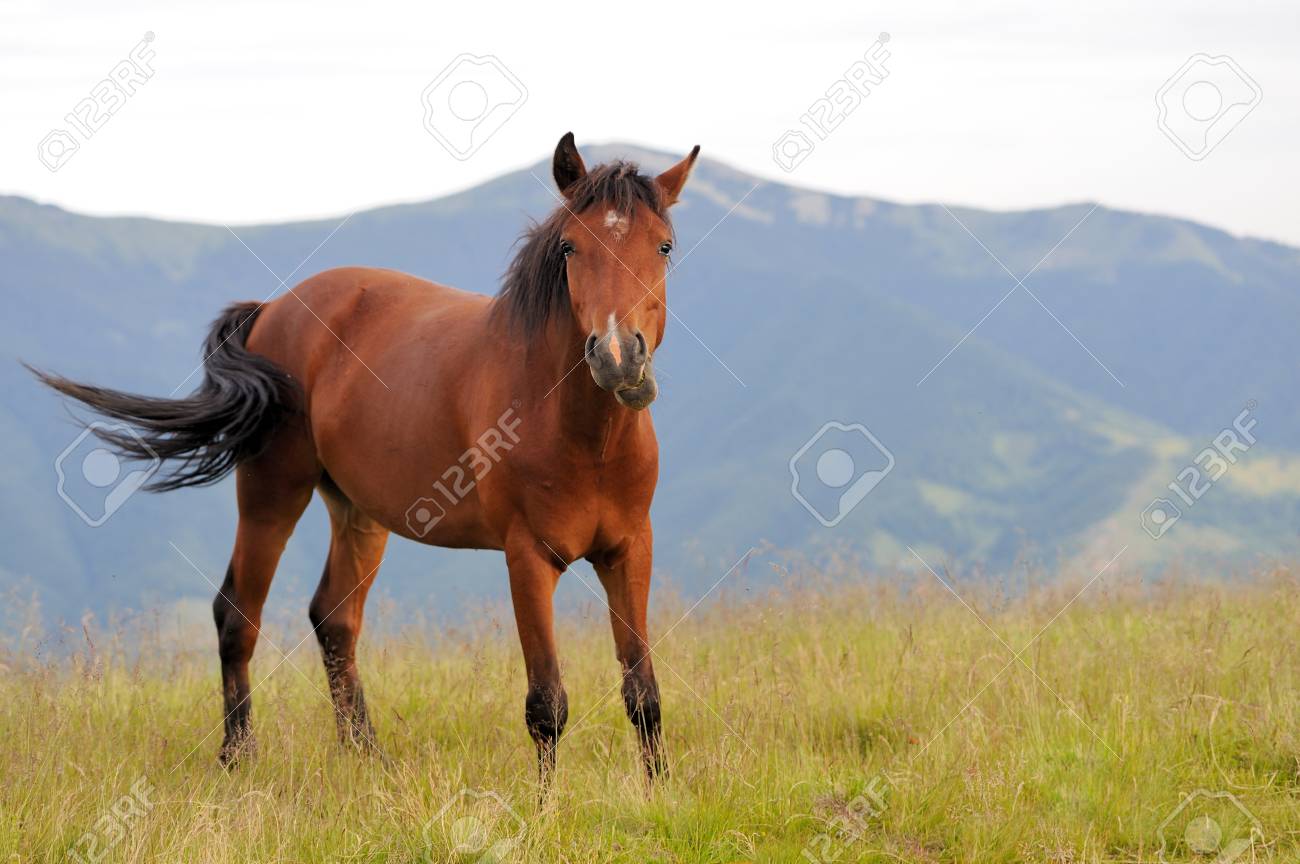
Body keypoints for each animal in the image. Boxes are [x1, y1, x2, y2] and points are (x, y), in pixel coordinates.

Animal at [30, 132, 700, 782]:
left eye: (664, 247)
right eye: (568, 249)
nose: (618, 357)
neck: (585, 438)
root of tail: (272, 309)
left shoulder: (628, 551)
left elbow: (643, 691)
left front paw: (659, 791)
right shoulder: (528, 557)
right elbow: (547, 704)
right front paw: (545, 807)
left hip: (357, 512)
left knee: (334, 620)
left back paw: (366, 757)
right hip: (272, 492)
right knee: (237, 614)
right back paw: (238, 758)